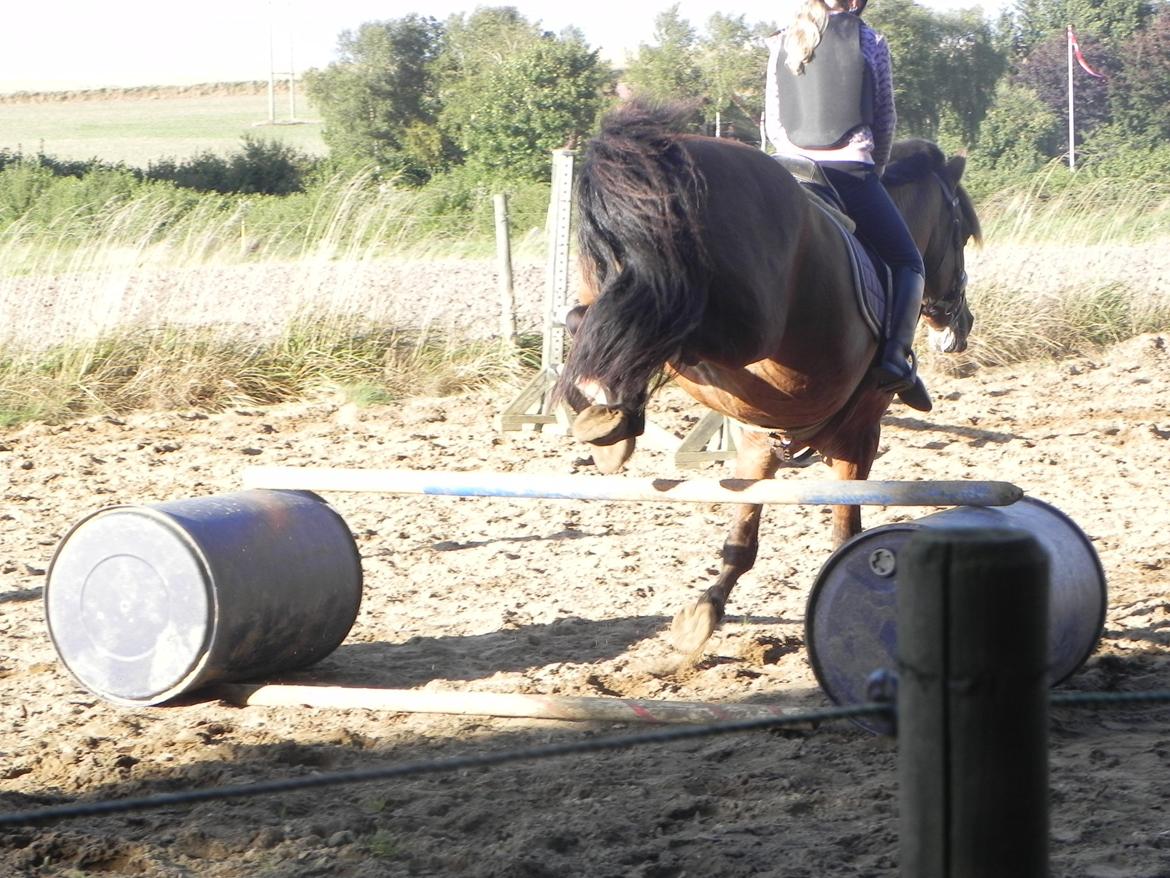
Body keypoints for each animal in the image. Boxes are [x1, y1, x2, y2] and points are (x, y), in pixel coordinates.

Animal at [554, 103, 978, 655]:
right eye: (962, 233)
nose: (961, 325)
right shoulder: (860, 434)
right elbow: (844, 533)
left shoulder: (760, 440)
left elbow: (743, 535)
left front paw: (704, 611)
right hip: (748, 326)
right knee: (665, 327)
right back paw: (612, 411)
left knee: (588, 318)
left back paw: (606, 413)